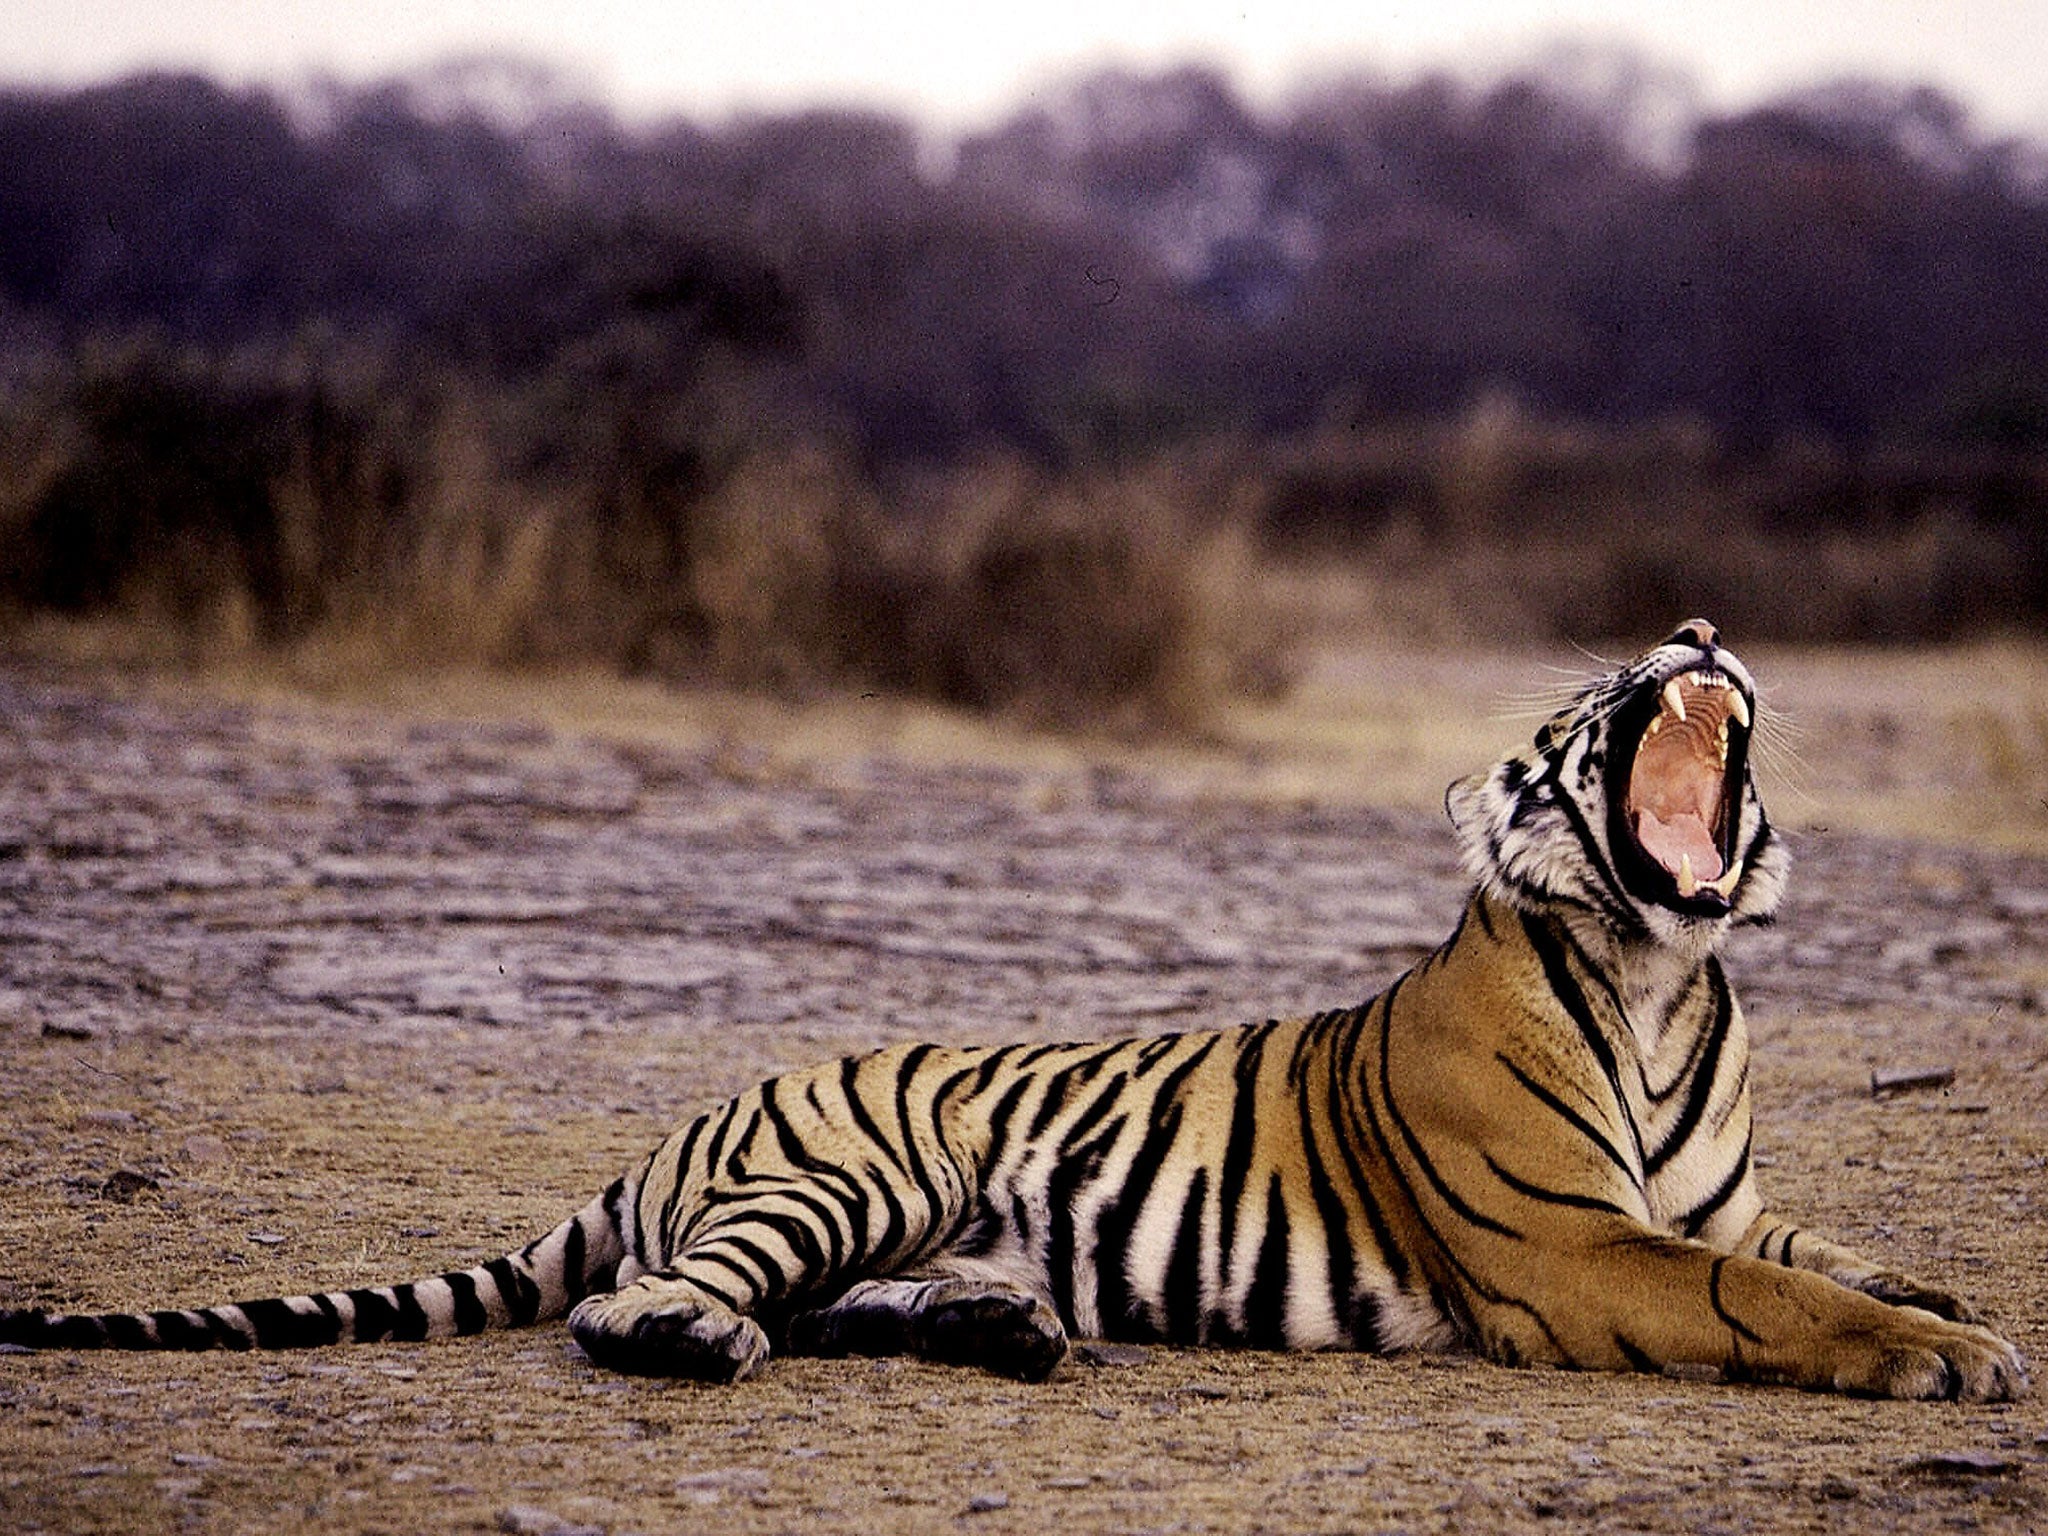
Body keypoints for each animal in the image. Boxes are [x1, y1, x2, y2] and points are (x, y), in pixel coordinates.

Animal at [0, 618, 2023, 1400]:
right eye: (1591, 690)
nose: (1695, 633)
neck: (1663, 972)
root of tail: (675, 1122)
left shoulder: (1720, 1203)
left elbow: (1832, 1246)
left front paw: (1953, 1303)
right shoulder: (1576, 1253)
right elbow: (1768, 1296)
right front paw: (1948, 1358)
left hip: (905, 1220)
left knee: (833, 1311)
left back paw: (1005, 1331)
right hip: (853, 1173)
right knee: (656, 1305)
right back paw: (705, 1341)